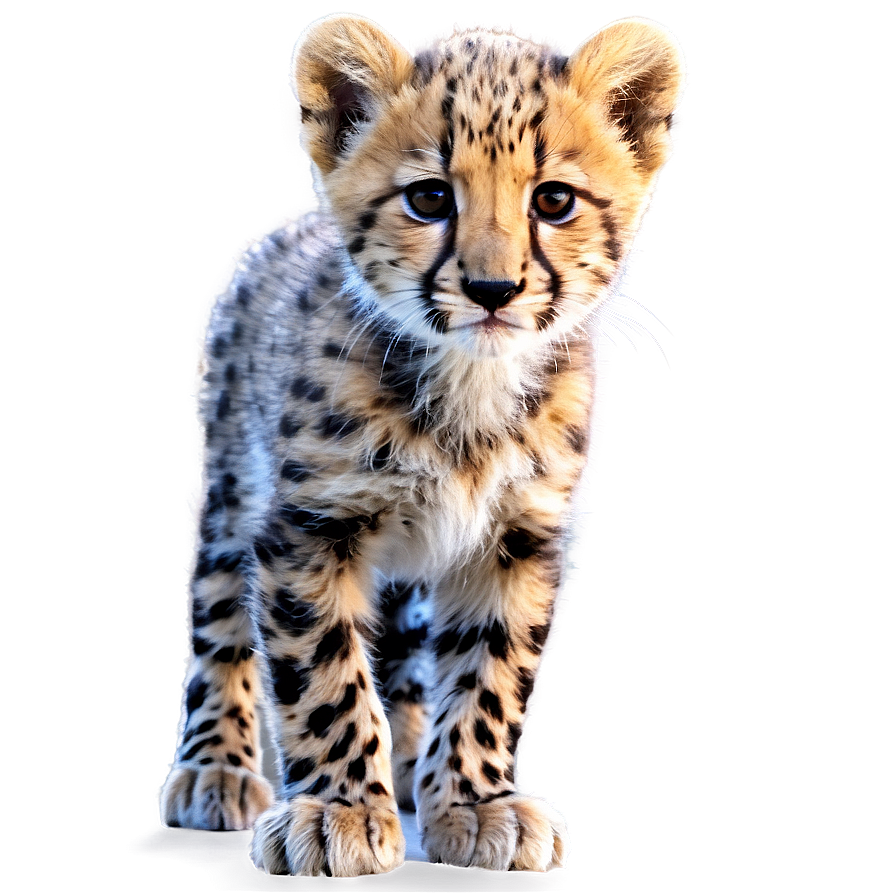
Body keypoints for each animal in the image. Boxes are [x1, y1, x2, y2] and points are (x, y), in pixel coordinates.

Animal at [159, 13, 684, 877]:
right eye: (430, 197)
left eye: (554, 201)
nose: (493, 290)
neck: (469, 387)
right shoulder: (307, 526)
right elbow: (327, 676)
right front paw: (338, 809)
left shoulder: (518, 537)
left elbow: (489, 675)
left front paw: (474, 803)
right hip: (234, 488)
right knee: (220, 619)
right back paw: (216, 767)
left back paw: (409, 765)